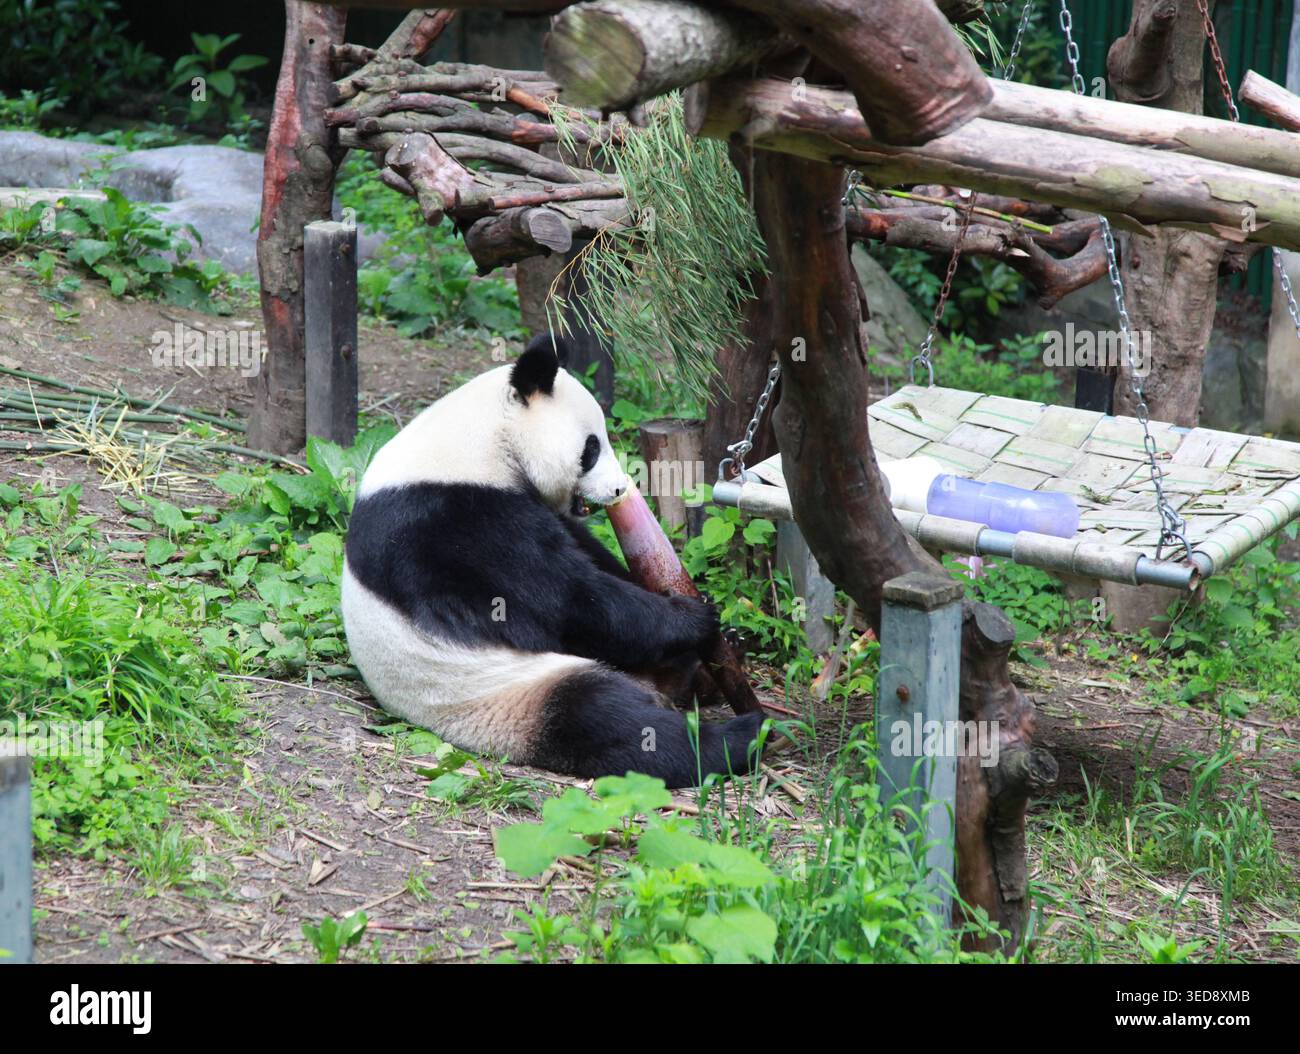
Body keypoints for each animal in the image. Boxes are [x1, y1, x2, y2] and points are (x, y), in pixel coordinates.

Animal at [341, 334, 764, 788]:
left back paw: (718, 661)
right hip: (500, 693)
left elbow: (592, 558)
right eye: (592, 448)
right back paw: (743, 734)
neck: (480, 444)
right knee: (604, 720)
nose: (619, 489)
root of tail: (651, 686)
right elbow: (567, 602)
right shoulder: (453, 521)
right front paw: (693, 616)